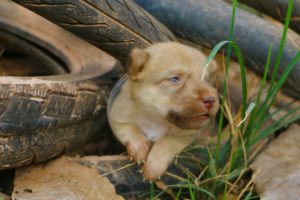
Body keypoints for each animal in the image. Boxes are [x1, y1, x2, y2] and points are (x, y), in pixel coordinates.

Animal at [109, 41, 219, 180]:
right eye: (174, 79)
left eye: (206, 80)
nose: (211, 100)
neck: (156, 119)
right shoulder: (117, 118)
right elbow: (132, 130)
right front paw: (140, 149)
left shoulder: (184, 136)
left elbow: (166, 143)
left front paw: (153, 167)